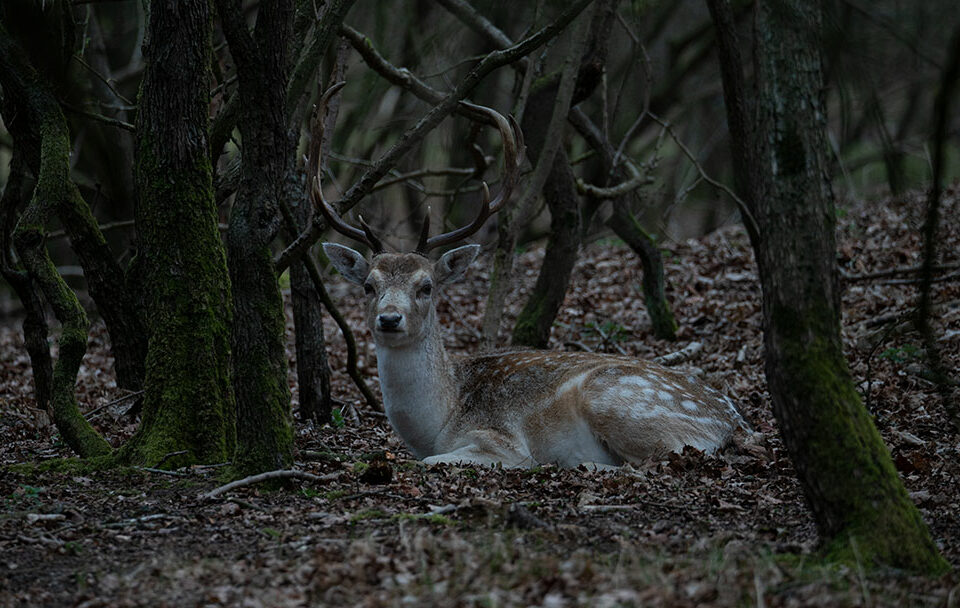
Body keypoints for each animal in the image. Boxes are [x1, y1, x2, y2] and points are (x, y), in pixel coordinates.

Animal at [316, 103, 752, 466]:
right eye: (368, 286)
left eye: (427, 286)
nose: (390, 319)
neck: (438, 423)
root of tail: (733, 422)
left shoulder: (500, 441)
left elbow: (433, 462)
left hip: (616, 402)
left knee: (663, 455)